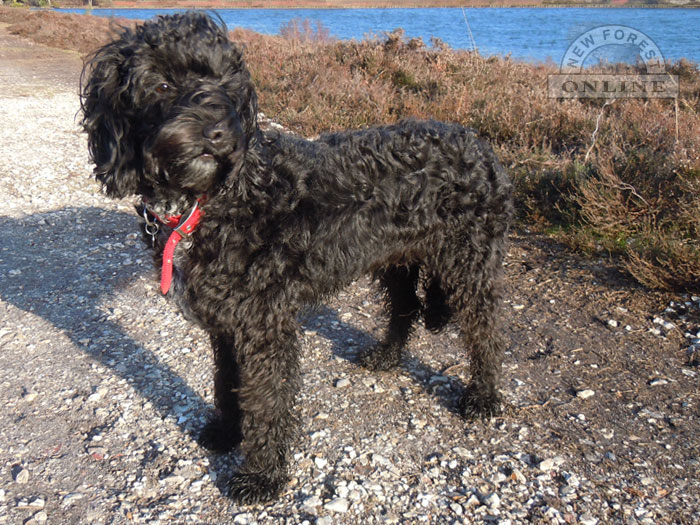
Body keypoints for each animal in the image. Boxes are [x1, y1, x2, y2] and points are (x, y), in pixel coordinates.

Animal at [80, 12, 516, 504]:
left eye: (227, 87)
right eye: (163, 84)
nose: (217, 133)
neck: (212, 202)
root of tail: (480, 144)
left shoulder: (264, 324)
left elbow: (267, 399)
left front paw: (262, 476)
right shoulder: (227, 322)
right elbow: (227, 383)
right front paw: (227, 433)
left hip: (470, 263)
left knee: (485, 332)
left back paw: (483, 395)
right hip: (397, 259)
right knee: (406, 307)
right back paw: (387, 356)